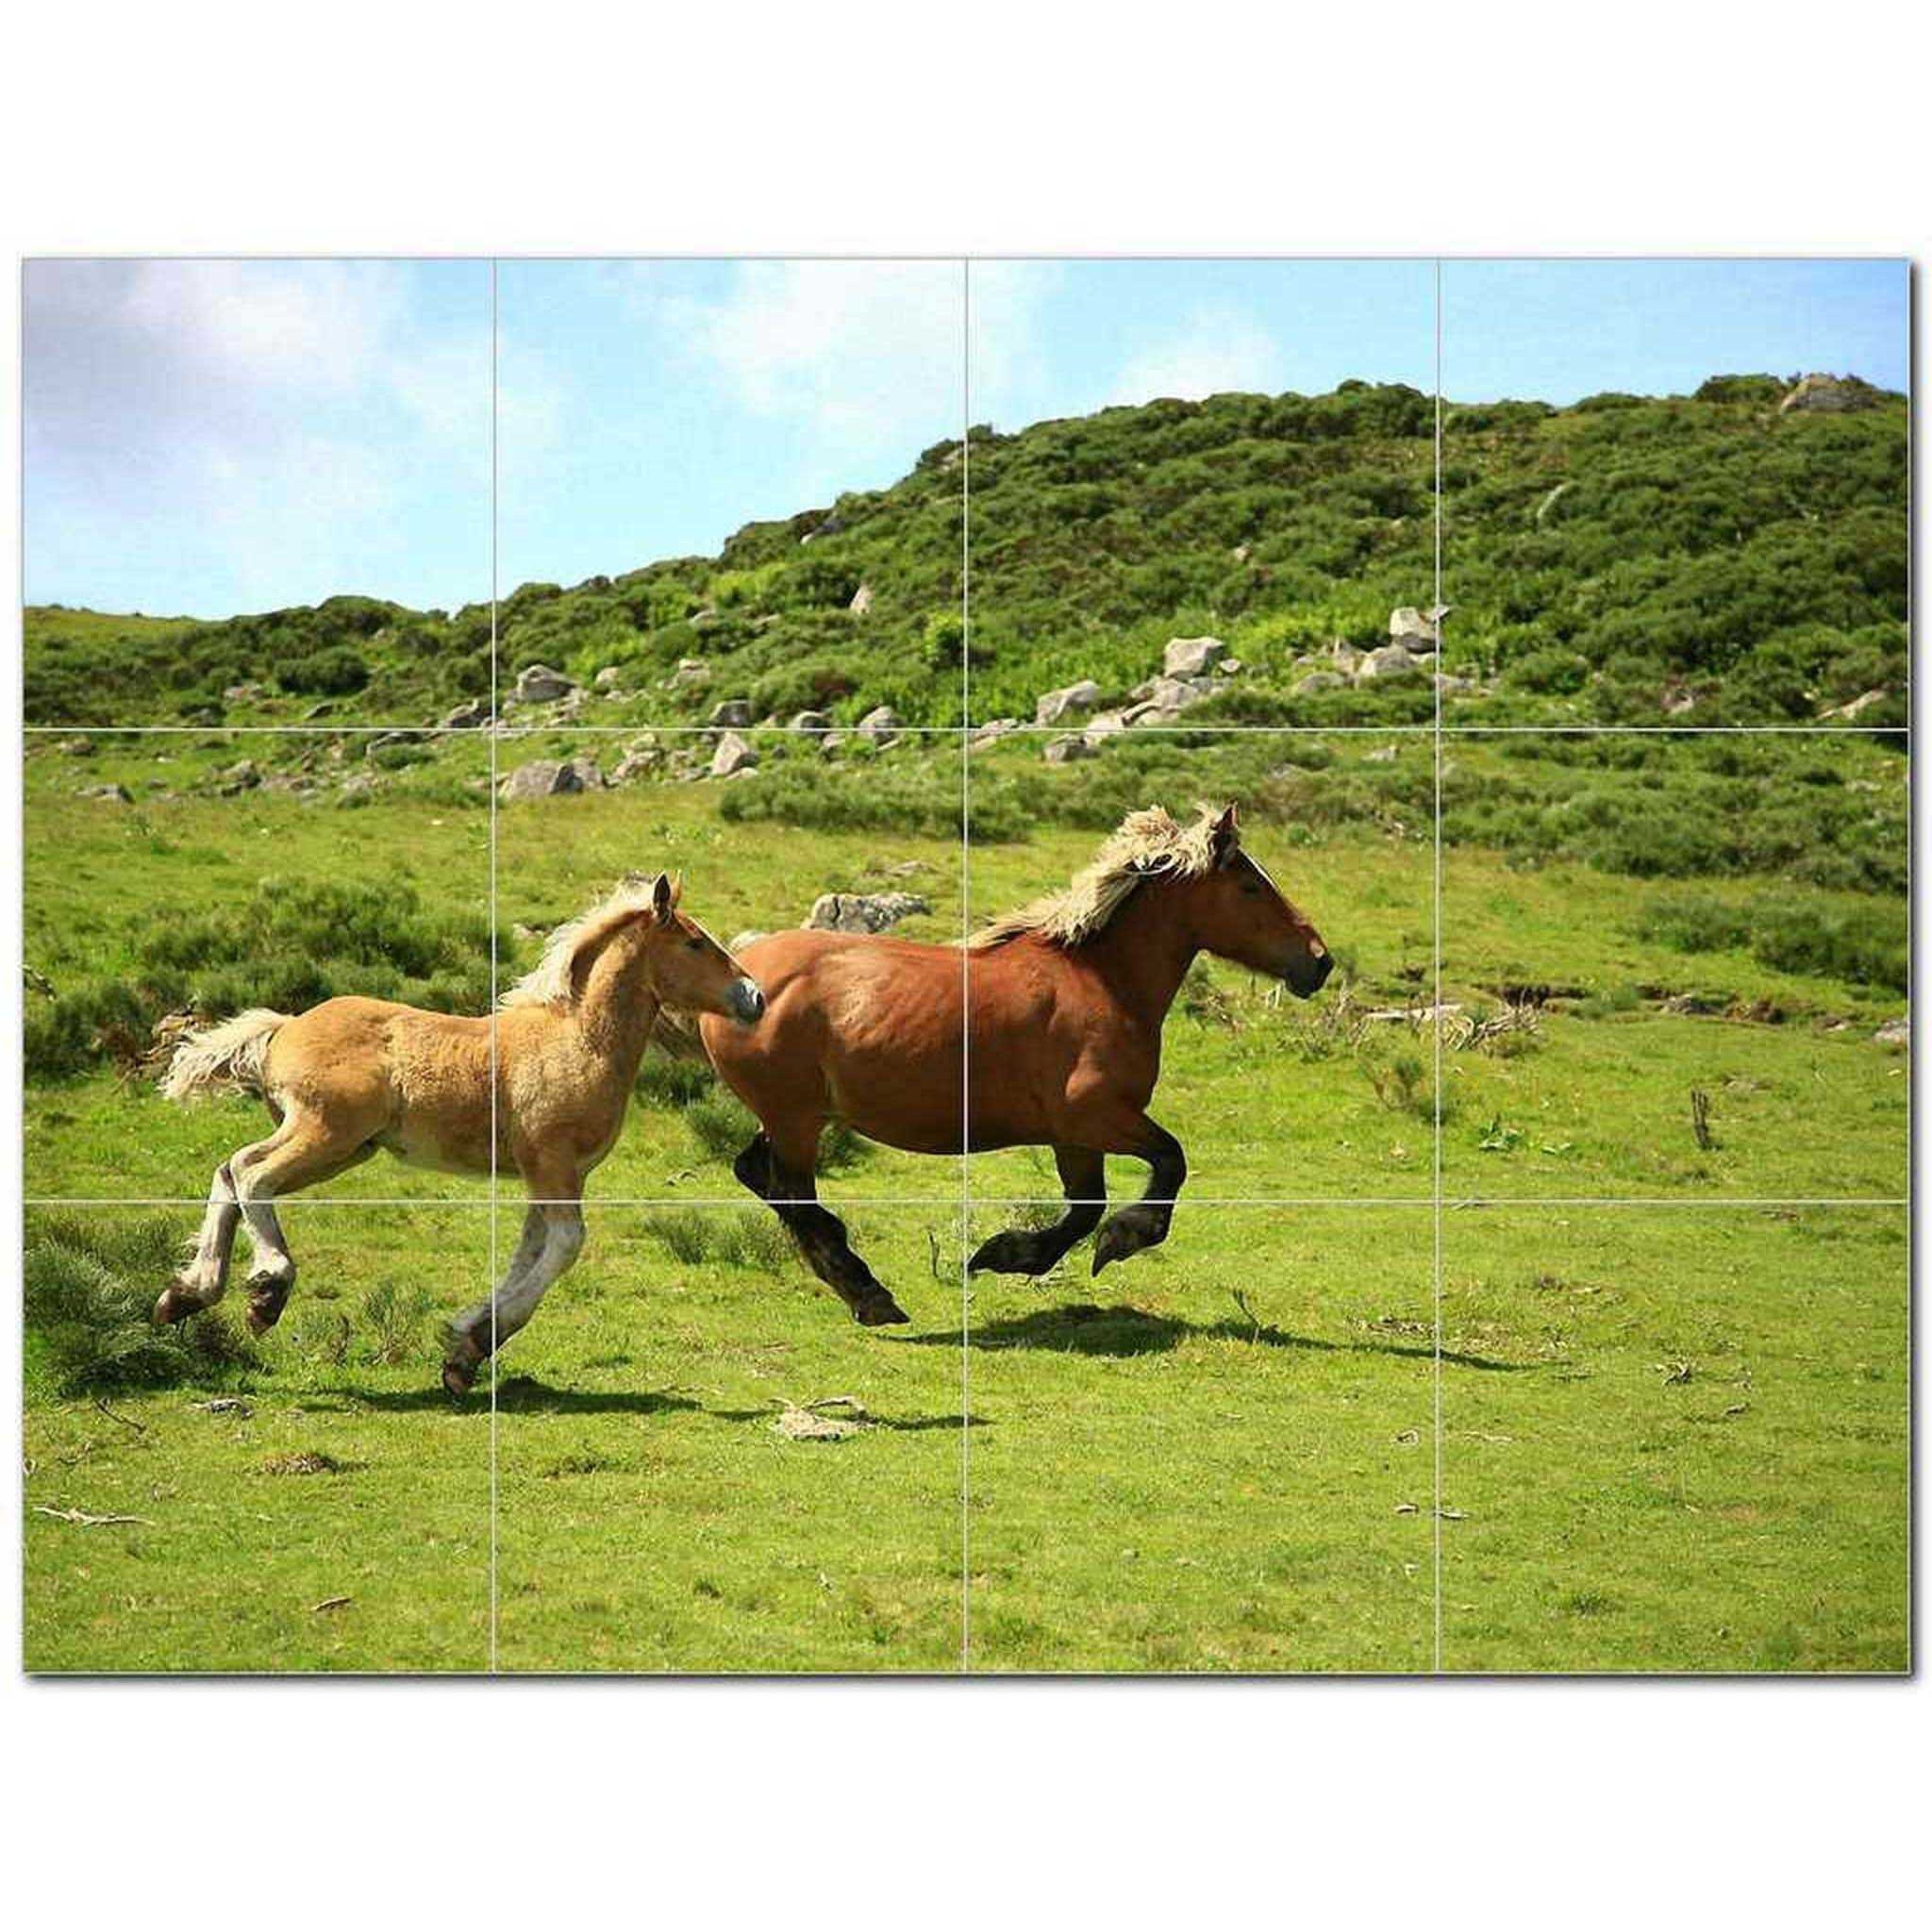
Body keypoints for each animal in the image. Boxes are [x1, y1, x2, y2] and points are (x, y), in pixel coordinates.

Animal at [156, 871, 765, 1395]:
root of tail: (285, 1027)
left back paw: (185, 1295)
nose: (754, 997)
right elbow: (566, 1244)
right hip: (325, 1132)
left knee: (229, 1170)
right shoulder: (552, 1160)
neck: (579, 1039)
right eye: (694, 942)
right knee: (249, 1173)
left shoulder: (551, 1172)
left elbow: (530, 1250)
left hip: (343, 1148)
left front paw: (464, 1351)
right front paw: (474, 1343)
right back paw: (266, 1292)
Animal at [699, 803, 1331, 1325]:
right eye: (1250, 887)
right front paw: (1120, 1238)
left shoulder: (1073, 1136)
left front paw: (1008, 1254)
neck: (1104, 981)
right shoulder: (1094, 1115)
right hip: (795, 1117)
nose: (1319, 962)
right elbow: (1167, 1164)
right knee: (791, 1192)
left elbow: (1085, 1207)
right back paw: (869, 1294)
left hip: (793, 1116)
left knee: (760, 1176)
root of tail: (743, 976)